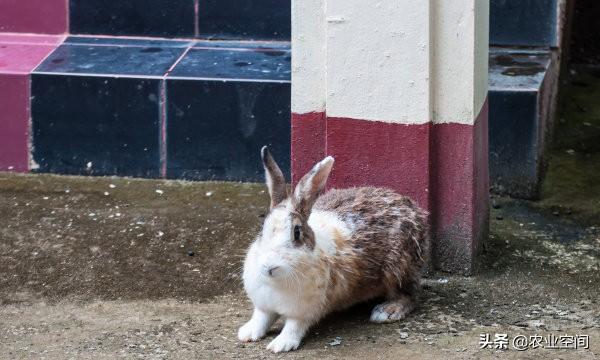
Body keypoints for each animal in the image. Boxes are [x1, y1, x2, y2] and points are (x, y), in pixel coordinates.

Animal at [237, 146, 428, 352]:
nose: (269, 267)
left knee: (409, 295)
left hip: (397, 269)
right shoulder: (264, 306)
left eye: (297, 232)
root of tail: (414, 210)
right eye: (261, 228)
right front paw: (246, 333)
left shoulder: (304, 311)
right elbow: (261, 318)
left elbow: (294, 326)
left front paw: (281, 344)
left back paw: (386, 311)